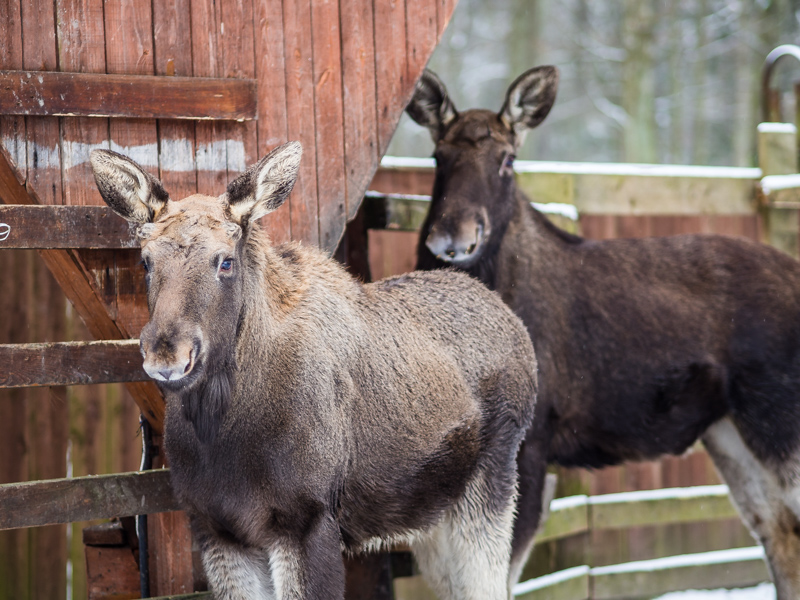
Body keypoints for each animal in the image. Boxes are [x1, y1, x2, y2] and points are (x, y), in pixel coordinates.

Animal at [89, 142, 536, 600]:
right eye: (145, 262)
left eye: (225, 262)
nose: (167, 355)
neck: (222, 427)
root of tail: (514, 324)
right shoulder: (217, 528)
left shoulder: (306, 519)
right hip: (432, 513)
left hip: (492, 482)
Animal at [410, 67, 800, 596]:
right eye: (437, 155)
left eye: (507, 158)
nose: (452, 238)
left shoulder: (530, 445)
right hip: (728, 429)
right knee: (778, 532)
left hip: (779, 417)